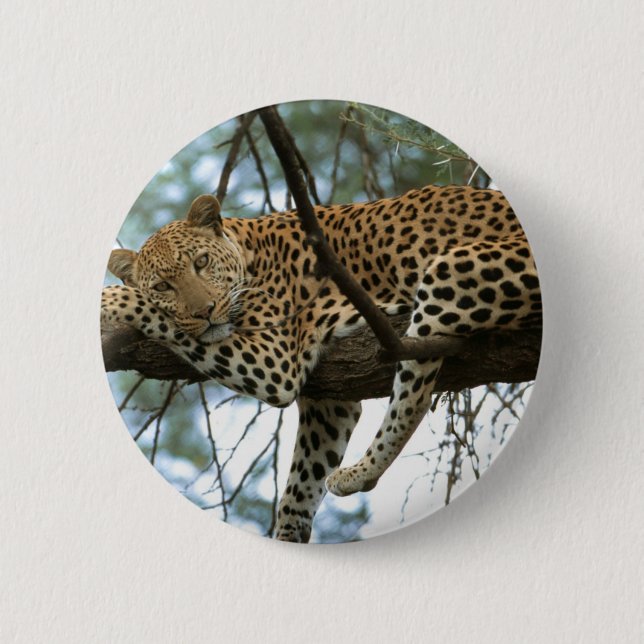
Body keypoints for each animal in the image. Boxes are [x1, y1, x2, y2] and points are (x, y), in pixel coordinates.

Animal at [102, 184, 541, 543]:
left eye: (202, 262)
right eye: (164, 285)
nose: (205, 312)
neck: (249, 251)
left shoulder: (274, 361)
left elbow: (153, 314)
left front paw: (110, 301)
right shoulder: (329, 402)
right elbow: (301, 480)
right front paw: (288, 535)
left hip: (451, 270)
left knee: (413, 399)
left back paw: (359, 473)